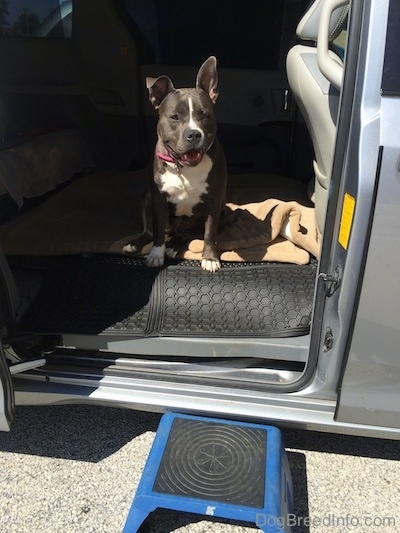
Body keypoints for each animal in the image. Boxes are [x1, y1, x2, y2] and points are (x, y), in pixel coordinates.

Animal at [123, 56, 227, 272]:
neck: (184, 166)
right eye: (174, 117)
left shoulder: (214, 201)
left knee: (187, 234)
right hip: (146, 199)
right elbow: (157, 232)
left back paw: (174, 246)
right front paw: (157, 254)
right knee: (150, 231)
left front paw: (210, 258)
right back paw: (136, 244)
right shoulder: (159, 198)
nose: (194, 134)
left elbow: (209, 233)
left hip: (221, 213)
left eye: (205, 115)